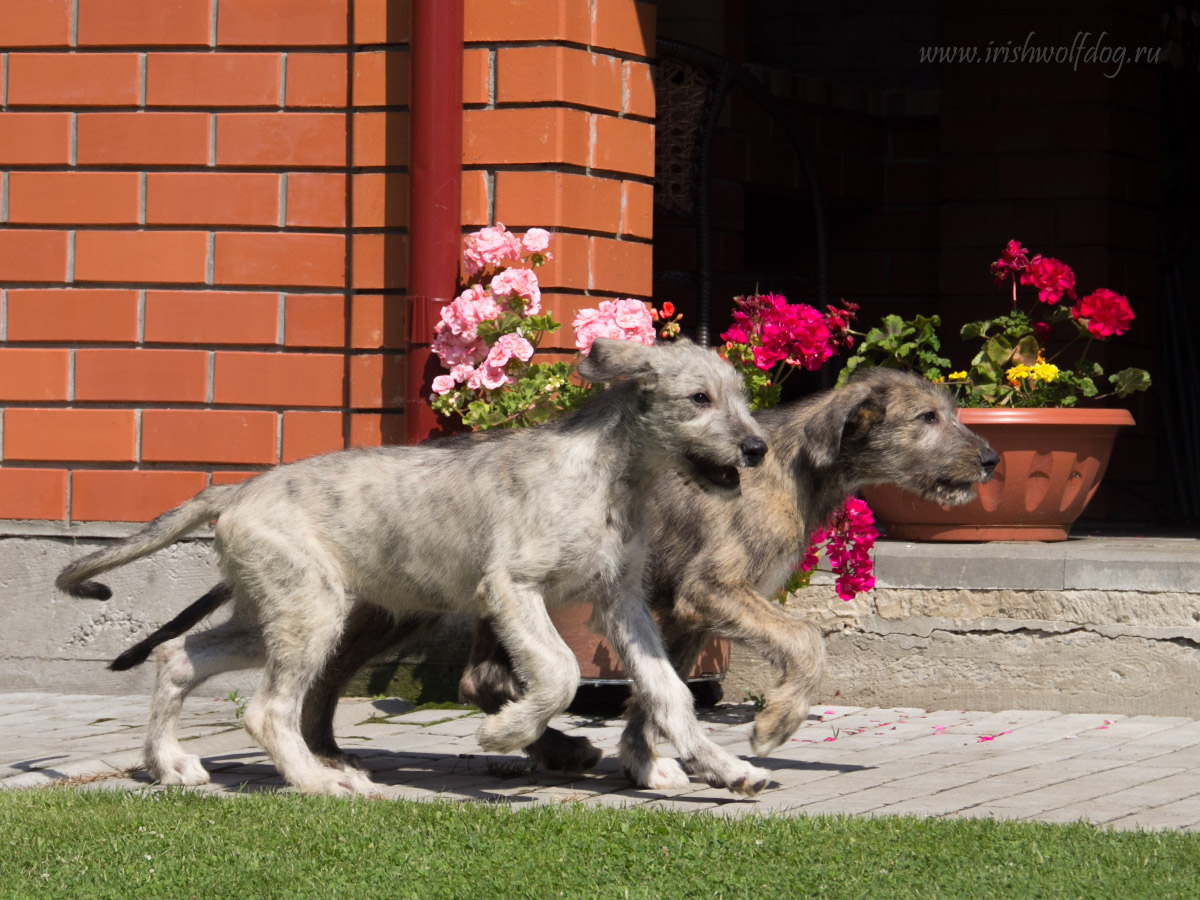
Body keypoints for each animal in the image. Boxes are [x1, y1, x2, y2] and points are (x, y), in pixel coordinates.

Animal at [56, 338, 772, 796]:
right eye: (699, 398)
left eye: (739, 396)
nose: (758, 449)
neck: (609, 473)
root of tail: (236, 492)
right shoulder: (513, 587)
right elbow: (562, 672)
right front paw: (507, 732)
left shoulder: (619, 601)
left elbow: (669, 692)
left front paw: (722, 767)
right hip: (312, 614)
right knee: (267, 710)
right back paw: (318, 780)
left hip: (277, 613)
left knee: (180, 655)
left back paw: (170, 764)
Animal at [112, 367, 998, 787]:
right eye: (927, 419)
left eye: (951, 412)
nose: (991, 457)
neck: (789, 461)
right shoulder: (711, 591)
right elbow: (807, 641)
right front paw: (774, 725)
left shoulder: (670, 610)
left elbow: (658, 693)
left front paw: (652, 761)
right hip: (378, 605)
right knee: (400, 678)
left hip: (390, 605)